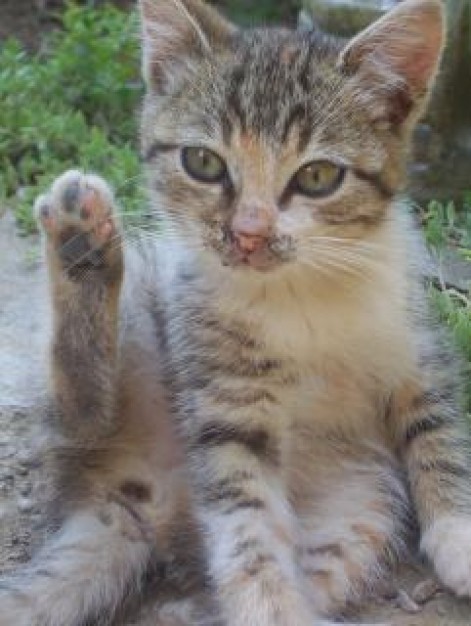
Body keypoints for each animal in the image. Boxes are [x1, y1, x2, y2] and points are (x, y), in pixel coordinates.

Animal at [0, 1, 471, 624]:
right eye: (202, 162)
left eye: (318, 176)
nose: (249, 234)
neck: (302, 290)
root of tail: (132, 498)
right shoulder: (227, 395)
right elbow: (246, 517)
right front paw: (268, 602)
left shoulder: (418, 344)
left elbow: (439, 432)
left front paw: (459, 534)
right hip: (150, 297)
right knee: (77, 416)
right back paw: (82, 251)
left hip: (355, 516)